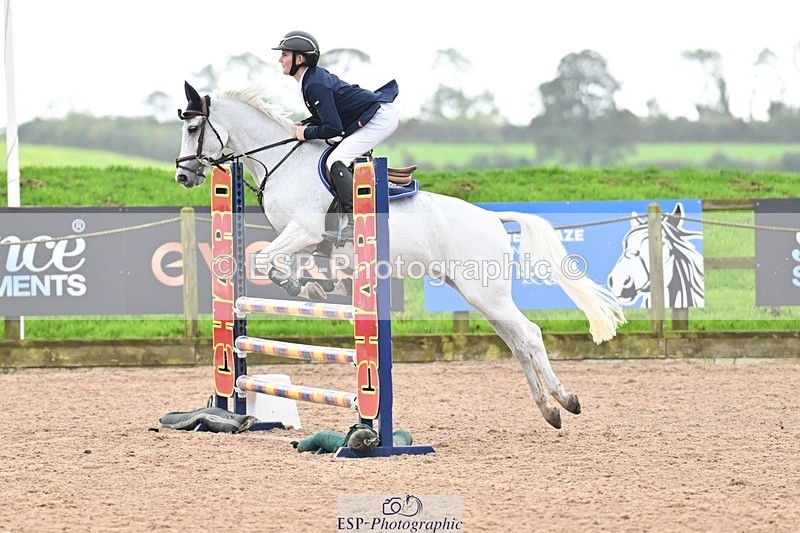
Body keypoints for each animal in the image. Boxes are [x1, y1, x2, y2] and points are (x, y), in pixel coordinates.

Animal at [174, 82, 626, 429]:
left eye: (194, 126)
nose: (182, 175)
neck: (281, 162)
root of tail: (494, 218)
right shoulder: (303, 237)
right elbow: (288, 261)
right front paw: (315, 284)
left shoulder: (304, 229)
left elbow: (264, 261)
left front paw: (298, 284)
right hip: (479, 295)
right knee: (516, 342)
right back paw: (550, 409)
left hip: (487, 292)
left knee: (529, 335)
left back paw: (565, 400)